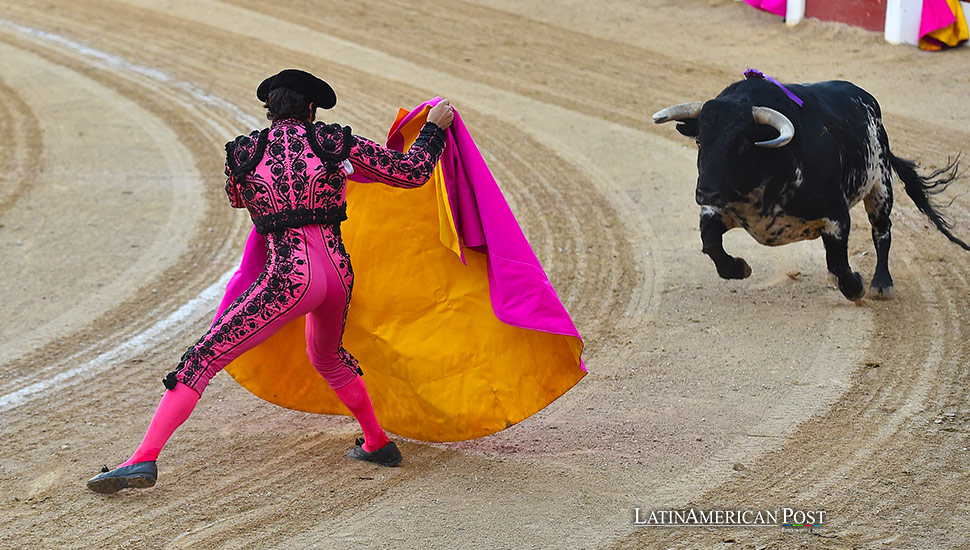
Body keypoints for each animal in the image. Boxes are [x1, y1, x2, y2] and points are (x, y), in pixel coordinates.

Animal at [656, 72, 964, 302]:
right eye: (699, 140)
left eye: (743, 144)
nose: (705, 193)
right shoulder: (717, 210)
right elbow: (711, 244)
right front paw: (739, 267)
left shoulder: (837, 216)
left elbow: (841, 262)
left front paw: (856, 286)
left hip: (880, 186)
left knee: (882, 232)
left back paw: (881, 283)